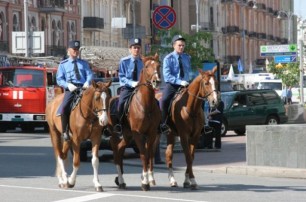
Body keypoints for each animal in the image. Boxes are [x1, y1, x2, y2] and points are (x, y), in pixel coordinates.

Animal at [109, 53, 163, 191]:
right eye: (147, 66)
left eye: (158, 65)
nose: (156, 81)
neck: (146, 104)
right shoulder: (138, 134)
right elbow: (143, 154)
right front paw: (145, 182)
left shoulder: (152, 133)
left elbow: (149, 154)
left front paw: (147, 178)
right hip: (116, 133)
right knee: (116, 149)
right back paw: (120, 179)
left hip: (127, 135)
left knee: (120, 149)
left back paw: (120, 180)